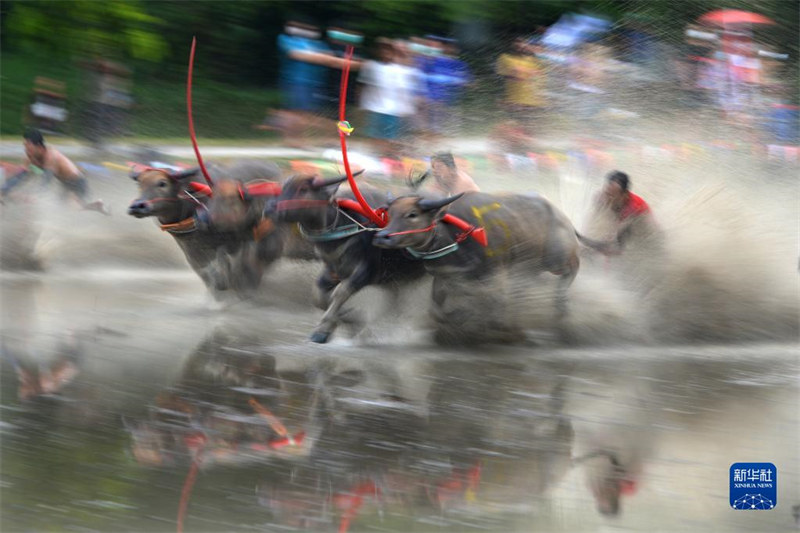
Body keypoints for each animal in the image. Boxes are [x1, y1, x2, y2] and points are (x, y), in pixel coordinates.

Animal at [276, 172, 428, 342]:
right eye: (283, 187)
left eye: (303, 189)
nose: (271, 208)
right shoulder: (334, 270)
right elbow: (318, 295)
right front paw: (349, 320)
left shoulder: (366, 271)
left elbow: (340, 292)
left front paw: (323, 330)